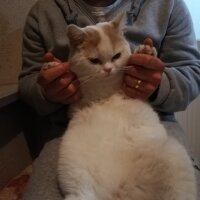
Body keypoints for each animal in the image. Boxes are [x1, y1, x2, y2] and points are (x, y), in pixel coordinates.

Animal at [56, 14, 197, 200]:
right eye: (94, 60)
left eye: (116, 56)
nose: (108, 69)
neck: (106, 92)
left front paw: (146, 51)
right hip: (79, 185)